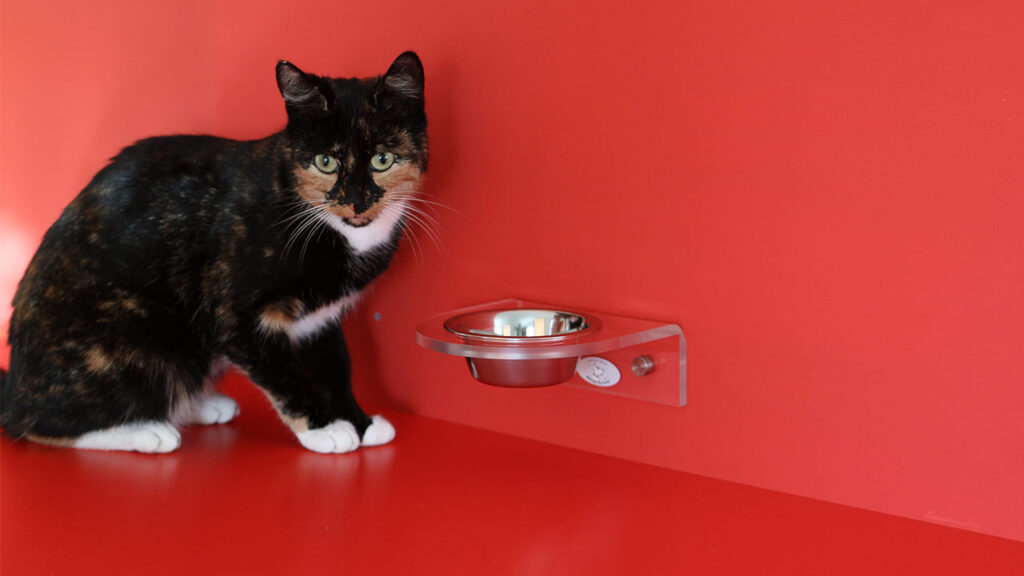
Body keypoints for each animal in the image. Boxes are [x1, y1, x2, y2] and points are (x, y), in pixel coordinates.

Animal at [0, 50, 428, 453]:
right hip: (142, 335)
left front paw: (358, 421)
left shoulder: (320, 318)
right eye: (325, 162)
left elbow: (334, 367)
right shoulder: (234, 314)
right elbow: (283, 373)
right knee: (40, 424)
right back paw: (148, 431)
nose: (355, 201)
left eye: (382, 159)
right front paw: (324, 429)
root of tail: (15, 386)